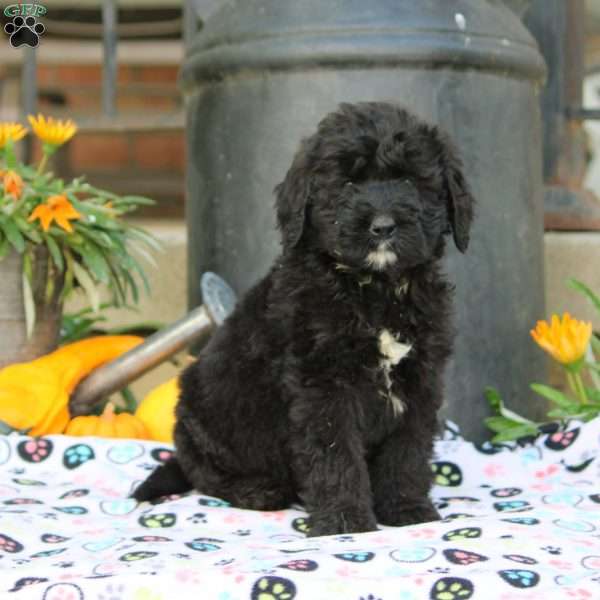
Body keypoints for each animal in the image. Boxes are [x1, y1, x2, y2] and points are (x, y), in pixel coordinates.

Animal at [134, 101, 476, 536]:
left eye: (409, 181)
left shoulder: (419, 378)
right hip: (202, 417)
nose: (382, 226)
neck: (375, 290)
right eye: (346, 184)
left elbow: (407, 450)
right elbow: (335, 454)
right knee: (206, 473)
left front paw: (406, 509)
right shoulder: (322, 385)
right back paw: (257, 491)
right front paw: (345, 522)